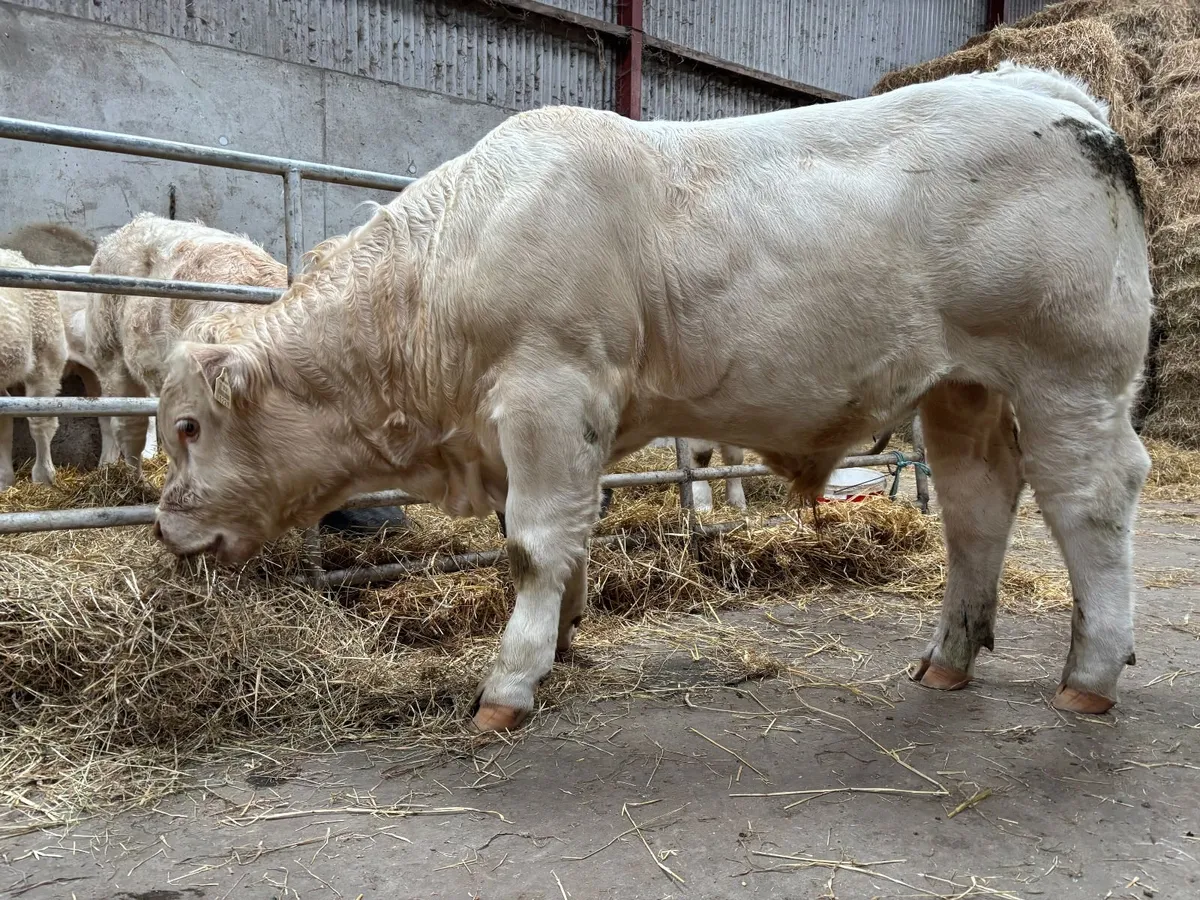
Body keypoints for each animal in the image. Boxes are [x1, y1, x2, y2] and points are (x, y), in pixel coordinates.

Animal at [152, 63, 1153, 732]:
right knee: (978, 507)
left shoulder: (549, 393)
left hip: (1070, 376)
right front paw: (560, 642)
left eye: (191, 426)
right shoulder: (562, 426)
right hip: (962, 390)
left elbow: (530, 544)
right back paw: (949, 659)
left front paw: (509, 684)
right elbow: (565, 540)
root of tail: (1046, 90)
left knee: (1090, 503)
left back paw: (1092, 673)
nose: (164, 528)